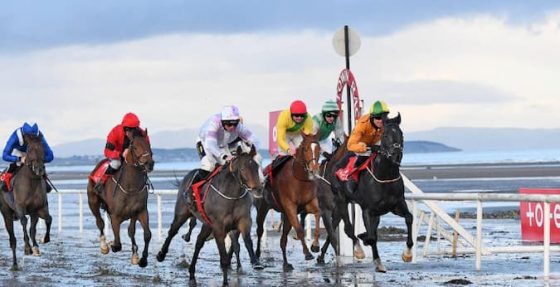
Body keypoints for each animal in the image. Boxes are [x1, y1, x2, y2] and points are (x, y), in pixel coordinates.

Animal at [0, 134, 52, 272]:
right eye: (30, 150)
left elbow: (45, 221)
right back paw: (14, 264)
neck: (31, 181)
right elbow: (24, 222)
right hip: (6, 214)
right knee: (12, 240)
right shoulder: (20, 207)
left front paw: (42, 241)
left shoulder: (39, 208)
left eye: (43, 148)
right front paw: (28, 247)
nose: (39, 169)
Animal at [86, 132, 154, 268]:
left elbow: (144, 234)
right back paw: (104, 246)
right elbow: (117, 244)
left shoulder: (140, 211)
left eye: (148, 144)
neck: (131, 186)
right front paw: (110, 244)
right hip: (93, 202)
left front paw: (141, 259)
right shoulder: (115, 216)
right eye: (134, 147)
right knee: (100, 222)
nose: (149, 163)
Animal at [256, 133, 322, 272]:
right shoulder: (290, 206)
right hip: (262, 207)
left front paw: (315, 246)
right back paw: (257, 256)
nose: (314, 169)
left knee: (283, 239)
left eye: (319, 149)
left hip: (286, 216)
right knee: (259, 231)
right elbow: (300, 230)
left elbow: (318, 215)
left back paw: (286, 264)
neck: (299, 180)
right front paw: (307, 253)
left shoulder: (309, 204)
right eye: (305, 149)